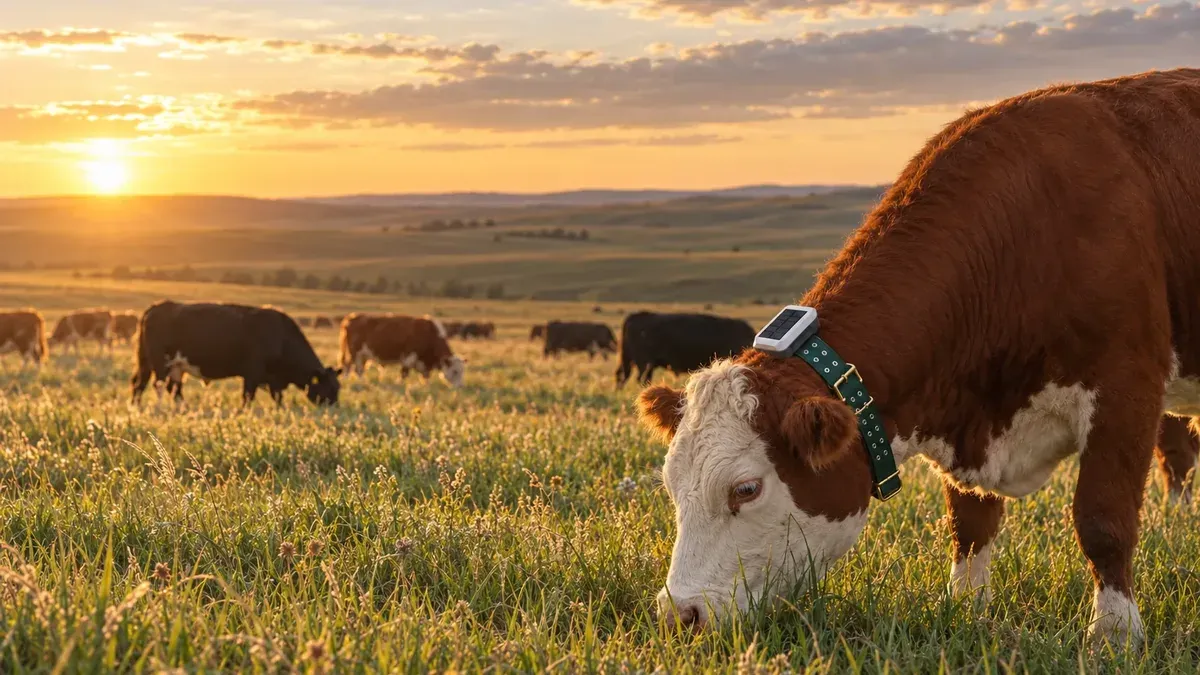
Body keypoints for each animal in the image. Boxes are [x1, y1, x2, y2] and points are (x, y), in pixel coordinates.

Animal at [130, 300, 341, 407]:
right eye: (329, 388)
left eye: (338, 388)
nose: (334, 409)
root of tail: (156, 307)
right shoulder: (253, 373)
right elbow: (248, 397)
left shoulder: (273, 380)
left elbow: (278, 399)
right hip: (160, 363)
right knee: (158, 386)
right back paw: (160, 411)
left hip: (167, 365)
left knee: (157, 386)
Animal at [634, 69, 1200, 646]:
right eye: (672, 486)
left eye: (746, 489)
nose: (679, 614)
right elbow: (969, 525)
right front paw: (968, 608)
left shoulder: (1126, 389)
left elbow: (1102, 520)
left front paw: (1114, 635)